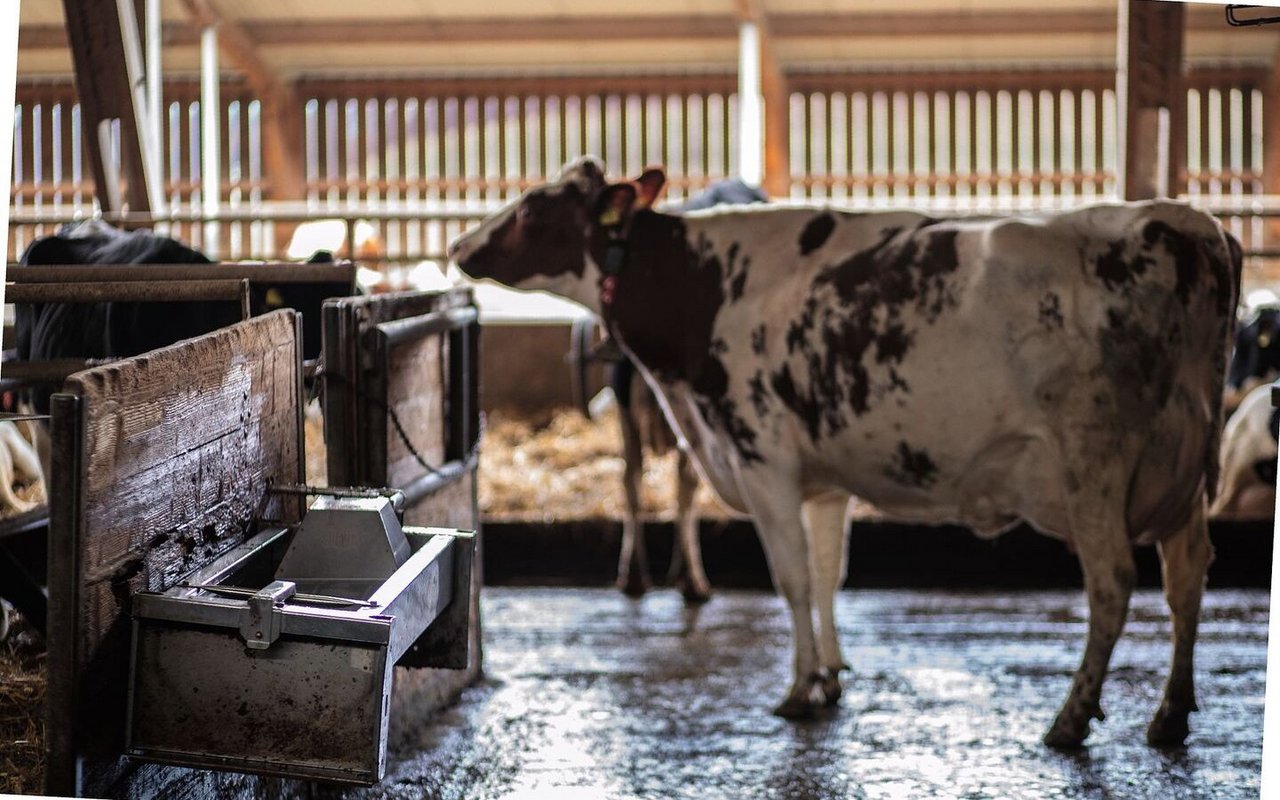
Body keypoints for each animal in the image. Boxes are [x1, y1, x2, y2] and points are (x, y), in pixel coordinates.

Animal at [450, 157, 1239, 747]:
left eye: (531, 209)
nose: (460, 247)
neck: (702, 282)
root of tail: (1186, 221)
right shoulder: (824, 477)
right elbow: (830, 576)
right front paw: (830, 677)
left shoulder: (761, 458)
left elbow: (795, 580)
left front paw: (799, 690)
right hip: (1180, 468)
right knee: (1186, 576)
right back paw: (1170, 715)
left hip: (1095, 462)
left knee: (1112, 585)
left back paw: (1069, 721)